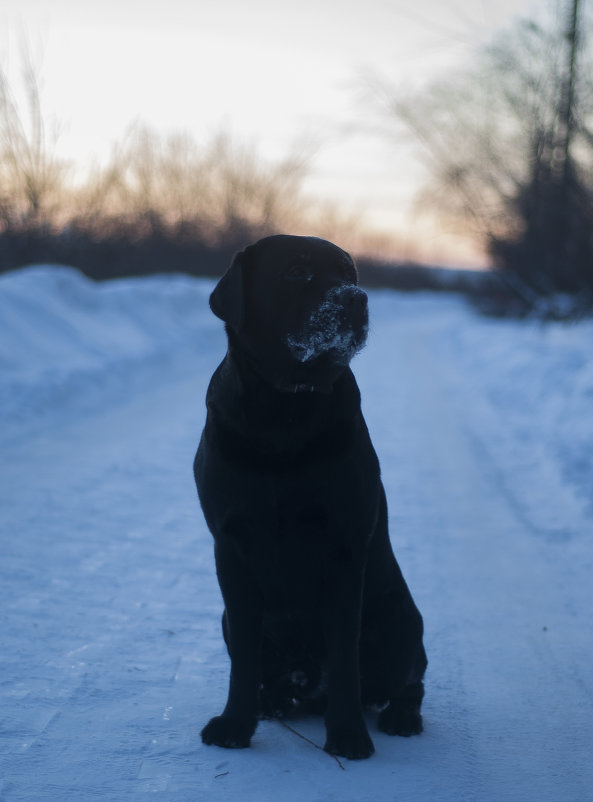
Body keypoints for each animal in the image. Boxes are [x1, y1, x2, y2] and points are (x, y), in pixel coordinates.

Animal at [194, 233, 426, 756]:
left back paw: (399, 716)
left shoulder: (343, 547)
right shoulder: (230, 548)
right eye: (297, 271)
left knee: (410, 681)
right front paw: (235, 724)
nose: (356, 299)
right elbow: (244, 659)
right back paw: (273, 702)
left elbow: (343, 659)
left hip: (403, 620)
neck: (284, 414)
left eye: (349, 273)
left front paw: (348, 735)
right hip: (225, 618)